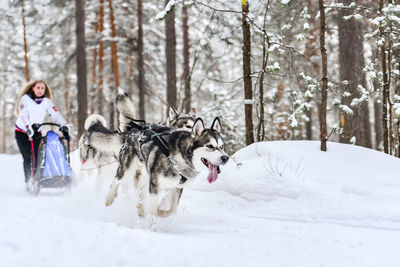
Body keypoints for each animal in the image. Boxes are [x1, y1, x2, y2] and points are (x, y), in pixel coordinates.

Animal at [86, 112, 230, 218]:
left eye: (222, 146)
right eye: (210, 146)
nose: (225, 158)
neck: (181, 157)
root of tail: (132, 131)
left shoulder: (176, 187)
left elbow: (171, 210)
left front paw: (161, 212)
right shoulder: (155, 186)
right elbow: (153, 210)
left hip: (146, 175)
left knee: (141, 194)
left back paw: (140, 208)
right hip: (127, 169)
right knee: (116, 181)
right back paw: (109, 198)